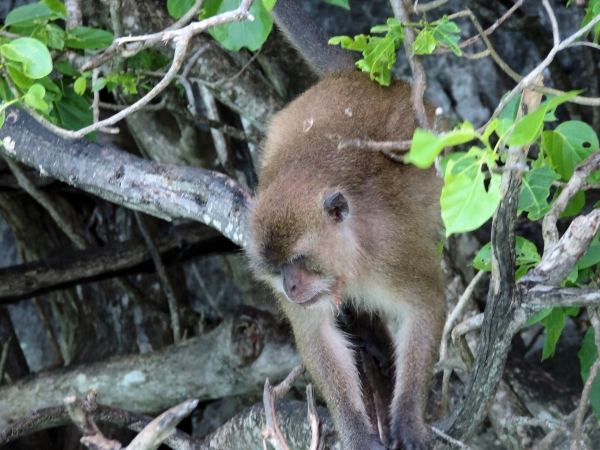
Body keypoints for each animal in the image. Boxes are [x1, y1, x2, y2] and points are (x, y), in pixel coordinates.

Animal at [246, 1, 448, 448]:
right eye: (276, 269)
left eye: (299, 260)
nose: (290, 286)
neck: (351, 261)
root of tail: (358, 78)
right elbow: (318, 338)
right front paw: (357, 431)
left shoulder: (393, 251)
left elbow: (425, 307)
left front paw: (408, 417)